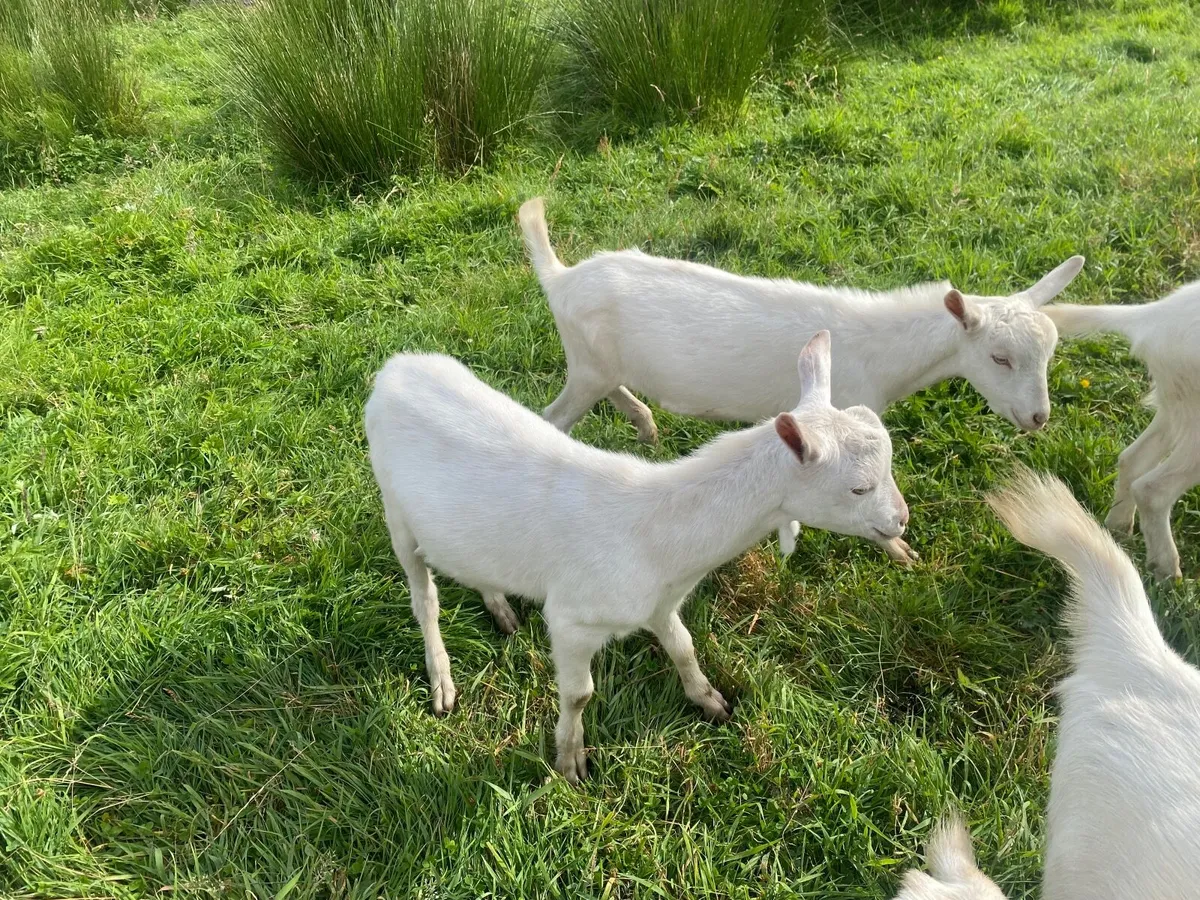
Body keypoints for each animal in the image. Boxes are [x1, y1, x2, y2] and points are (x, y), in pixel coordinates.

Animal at [364, 333, 908, 782]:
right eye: (859, 488)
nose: (901, 520)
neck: (656, 532)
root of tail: (395, 366)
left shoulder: (661, 601)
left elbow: (684, 646)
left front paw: (710, 700)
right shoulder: (573, 617)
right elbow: (579, 693)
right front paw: (570, 761)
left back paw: (499, 606)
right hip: (395, 510)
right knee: (424, 595)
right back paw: (442, 678)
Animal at [519, 197, 1082, 563]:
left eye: (1049, 353)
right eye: (1000, 358)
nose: (1038, 417)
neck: (883, 351)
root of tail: (560, 278)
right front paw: (898, 547)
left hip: (597, 362)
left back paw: (645, 423)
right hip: (586, 364)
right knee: (555, 416)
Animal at [1045, 281, 1200, 580]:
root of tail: (1157, 316)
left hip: (1177, 409)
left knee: (1133, 459)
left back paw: (1118, 528)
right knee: (1152, 489)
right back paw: (1167, 571)